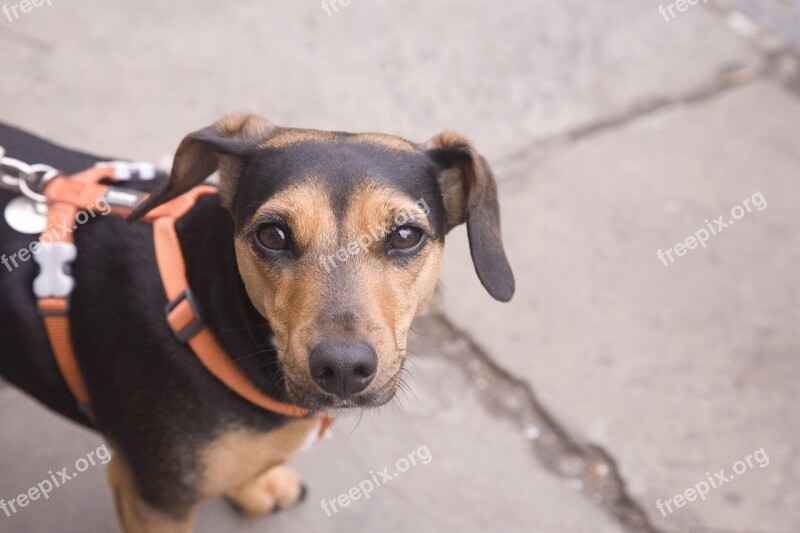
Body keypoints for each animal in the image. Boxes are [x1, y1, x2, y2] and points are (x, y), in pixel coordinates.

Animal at [0, 114, 512, 528]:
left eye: (405, 235)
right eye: (272, 235)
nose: (343, 368)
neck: (204, 311)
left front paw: (254, 486)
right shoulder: (154, 501)